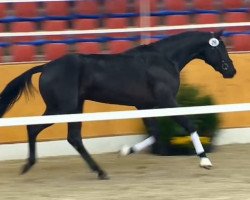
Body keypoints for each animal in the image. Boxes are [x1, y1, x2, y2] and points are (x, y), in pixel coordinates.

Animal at [0, 30, 236, 180]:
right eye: (220, 48)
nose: (231, 70)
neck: (164, 59)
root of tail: (46, 67)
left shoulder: (145, 106)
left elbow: (155, 133)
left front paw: (125, 151)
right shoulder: (167, 101)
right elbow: (189, 125)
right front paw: (204, 161)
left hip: (74, 107)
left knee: (73, 138)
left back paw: (100, 172)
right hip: (61, 108)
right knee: (34, 128)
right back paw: (29, 165)